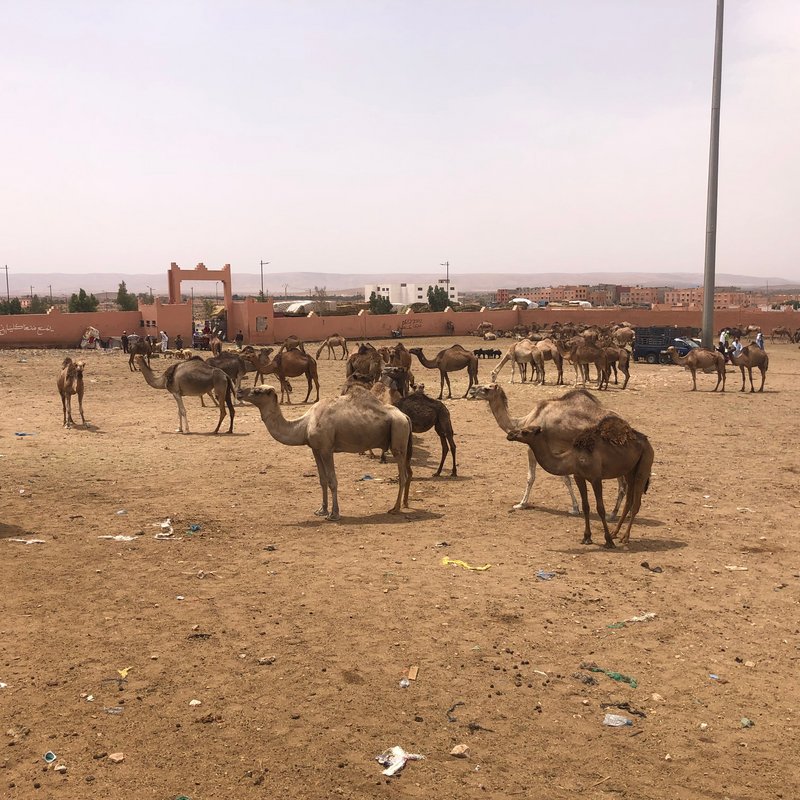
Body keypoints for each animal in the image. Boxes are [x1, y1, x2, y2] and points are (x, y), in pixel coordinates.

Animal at [242, 384, 412, 520]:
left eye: (257, 391)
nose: (239, 391)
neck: (305, 425)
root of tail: (405, 416)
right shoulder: (315, 449)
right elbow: (322, 480)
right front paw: (321, 510)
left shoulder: (326, 449)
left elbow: (332, 481)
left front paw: (334, 514)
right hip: (402, 439)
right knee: (408, 473)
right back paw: (404, 503)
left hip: (398, 436)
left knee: (402, 475)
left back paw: (395, 508)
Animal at [468, 382, 624, 520]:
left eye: (487, 388)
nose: (471, 390)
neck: (524, 422)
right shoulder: (557, 450)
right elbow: (565, 479)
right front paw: (575, 508)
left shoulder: (532, 447)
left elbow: (531, 477)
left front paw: (521, 504)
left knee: (622, 484)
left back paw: (612, 515)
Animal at [510, 412, 652, 552]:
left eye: (525, 431)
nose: (510, 434)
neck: (575, 458)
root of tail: (646, 440)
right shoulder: (579, 477)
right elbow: (586, 506)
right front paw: (586, 538)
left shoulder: (596, 478)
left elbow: (600, 508)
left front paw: (608, 542)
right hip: (629, 471)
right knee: (629, 501)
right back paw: (615, 533)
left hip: (644, 464)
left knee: (636, 503)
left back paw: (625, 537)